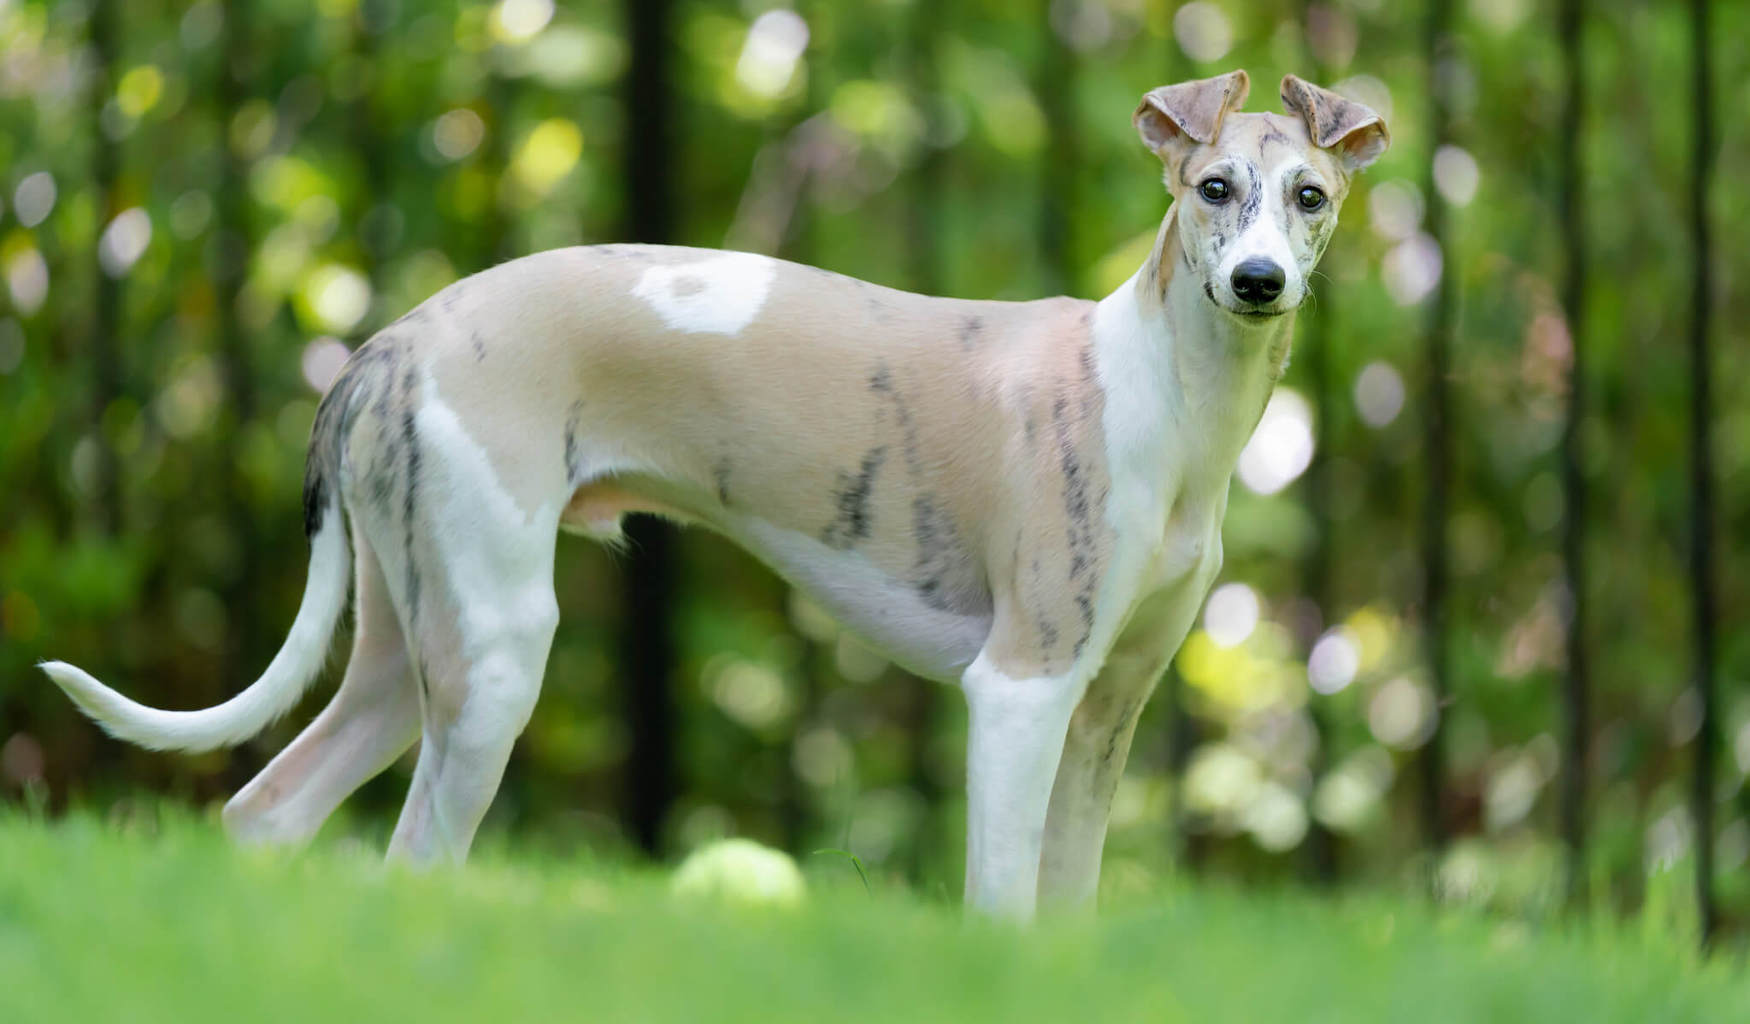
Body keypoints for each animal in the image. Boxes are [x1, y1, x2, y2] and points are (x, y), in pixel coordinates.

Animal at [41, 71, 1386, 917]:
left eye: (1309, 198)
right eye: (1210, 188)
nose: (1258, 283)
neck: (1160, 391)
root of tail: (387, 344)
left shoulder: (1105, 712)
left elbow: (1063, 907)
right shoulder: (1020, 690)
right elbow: (1001, 903)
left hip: (404, 644)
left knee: (267, 809)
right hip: (493, 654)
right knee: (413, 856)